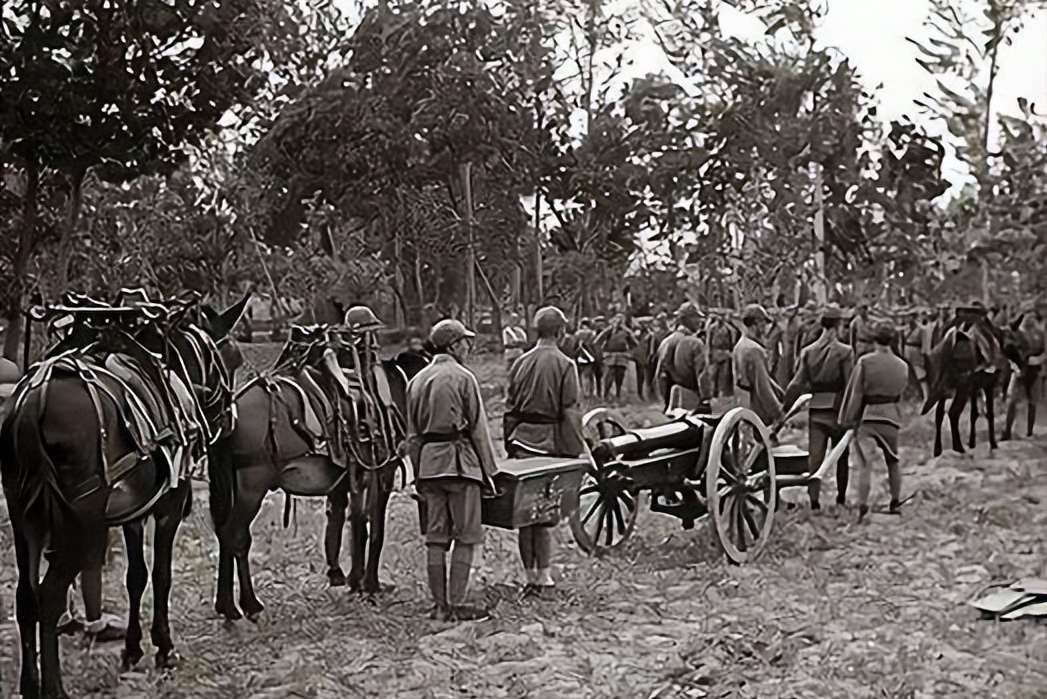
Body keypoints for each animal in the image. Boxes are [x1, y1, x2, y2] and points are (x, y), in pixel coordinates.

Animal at [0, 292, 247, 699]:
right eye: (234, 359)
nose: (230, 418)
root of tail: (33, 405)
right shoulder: (168, 507)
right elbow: (161, 575)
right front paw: (164, 647)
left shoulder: (134, 511)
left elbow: (136, 576)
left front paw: (133, 648)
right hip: (79, 524)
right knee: (50, 596)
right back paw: (54, 687)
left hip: (25, 516)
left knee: (27, 597)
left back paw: (30, 684)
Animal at [208, 328, 425, 615]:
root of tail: (231, 411)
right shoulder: (382, 474)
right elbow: (374, 527)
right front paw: (370, 585)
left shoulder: (351, 479)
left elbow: (351, 522)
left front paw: (351, 580)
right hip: (251, 487)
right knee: (236, 536)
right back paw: (247, 604)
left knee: (225, 534)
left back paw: (227, 604)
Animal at [921, 307, 1009, 456]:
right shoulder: (988, 383)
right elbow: (989, 414)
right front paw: (993, 444)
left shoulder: (974, 387)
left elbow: (974, 413)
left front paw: (972, 443)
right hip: (962, 385)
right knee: (953, 412)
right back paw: (959, 448)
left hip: (944, 386)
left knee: (939, 414)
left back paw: (938, 450)